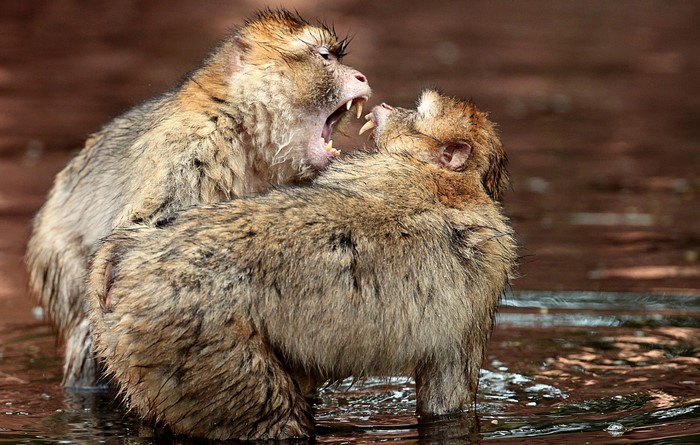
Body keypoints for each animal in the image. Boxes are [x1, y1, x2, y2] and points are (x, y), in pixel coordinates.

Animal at [25, 9, 371, 389]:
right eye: (325, 57)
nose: (361, 76)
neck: (248, 133)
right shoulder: (190, 150)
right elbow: (144, 229)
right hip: (59, 257)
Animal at [86, 90, 516, 440]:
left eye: (417, 112)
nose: (391, 108)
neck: (455, 184)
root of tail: (129, 260)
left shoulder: (484, 272)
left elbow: (447, 394)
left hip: (182, 337)